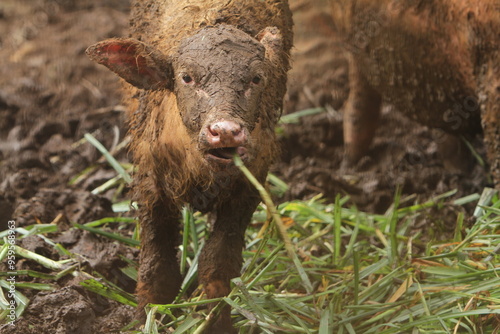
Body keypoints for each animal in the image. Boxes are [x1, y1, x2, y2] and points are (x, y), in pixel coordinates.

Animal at [84, 1, 292, 332]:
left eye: (257, 79)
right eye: (187, 78)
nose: (225, 131)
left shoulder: (249, 189)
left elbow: (217, 264)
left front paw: (218, 321)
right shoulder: (151, 185)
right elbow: (158, 267)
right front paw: (146, 317)